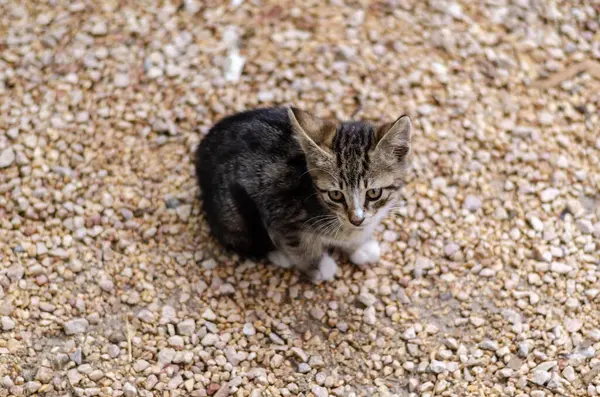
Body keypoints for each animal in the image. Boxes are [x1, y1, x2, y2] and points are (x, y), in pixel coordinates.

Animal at [197, 106, 412, 282]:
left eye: (374, 193)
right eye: (336, 195)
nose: (356, 219)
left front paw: (359, 246)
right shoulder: (280, 213)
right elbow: (299, 246)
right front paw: (318, 266)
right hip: (233, 213)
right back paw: (279, 255)